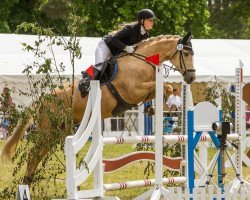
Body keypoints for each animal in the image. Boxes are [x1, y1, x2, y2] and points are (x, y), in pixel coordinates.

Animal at [2, 32, 197, 184]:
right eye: (187, 53)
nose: (191, 78)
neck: (143, 62)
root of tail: (43, 98)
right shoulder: (133, 91)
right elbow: (163, 86)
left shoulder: (142, 92)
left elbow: (165, 88)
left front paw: (152, 109)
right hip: (48, 128)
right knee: (33, 154)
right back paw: (26, 184)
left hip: (58, 130)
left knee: (38, 155)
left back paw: (28, 182)